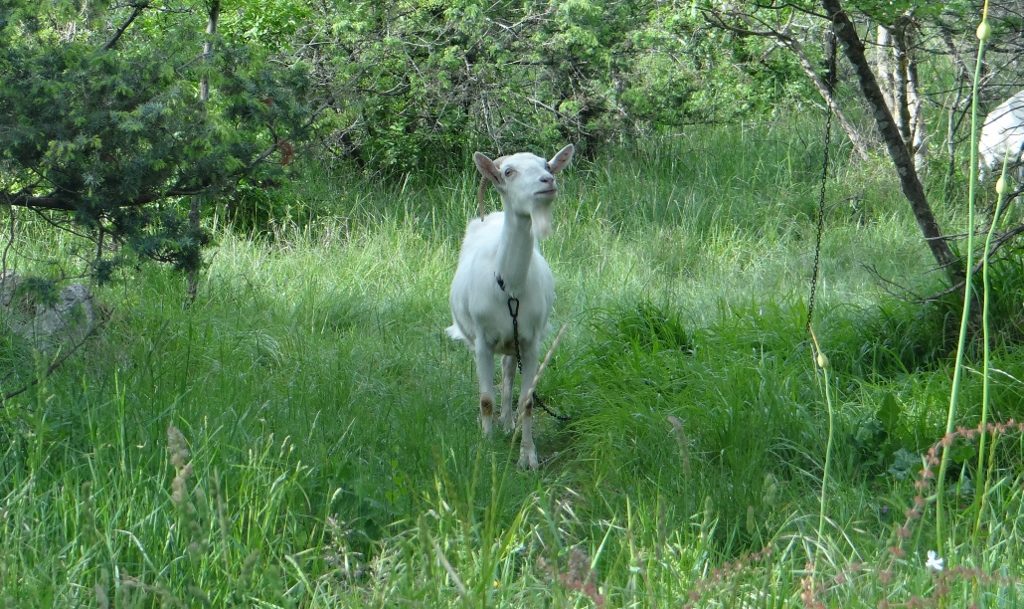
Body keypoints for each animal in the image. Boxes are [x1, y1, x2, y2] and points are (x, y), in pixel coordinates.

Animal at [446, 144, 575, 469]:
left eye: (547, 165)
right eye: (508, 171)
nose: (547, 181)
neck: (510, 289)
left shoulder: (530, 343)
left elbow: (527, 401)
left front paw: (528, 456)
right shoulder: (482, 341)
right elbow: (485, 399)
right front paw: (486, 447)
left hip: (512, 341)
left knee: (506, 372)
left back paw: (507, 422)